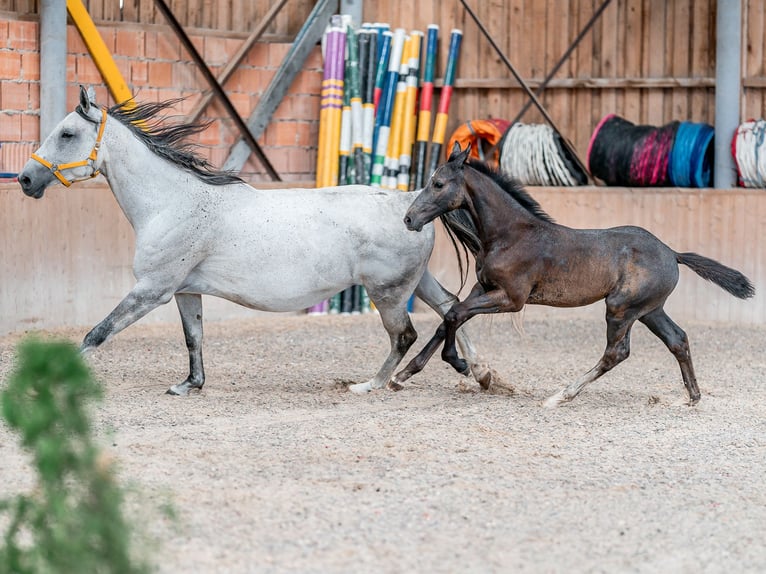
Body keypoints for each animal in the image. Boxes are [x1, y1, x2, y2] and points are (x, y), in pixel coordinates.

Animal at [18, 86, 500, 396]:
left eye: (66, 134)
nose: (25, 179)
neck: (172, 202)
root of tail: (408, 203)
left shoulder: (152, 290)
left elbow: (96, 334)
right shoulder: (185, 291)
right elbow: (193, 338)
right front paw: (190, 385)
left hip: (388, 292)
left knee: (404, 335)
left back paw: (374, 384)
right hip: (415, 282)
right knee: (450, 308)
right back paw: (478, 372)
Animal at [396, 144, 756, 410]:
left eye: (438, 184)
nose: (409, 218)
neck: (510, 234)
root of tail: (672, 253)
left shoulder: (511, 299)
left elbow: (454, 313)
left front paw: (456, 362)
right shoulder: (483, 287)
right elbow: (449, 317)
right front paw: (404, 374)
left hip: (621, 308)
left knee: (616, 353)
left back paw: (560, 396)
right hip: (649, 310)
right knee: (677, 339)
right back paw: (692, 398)